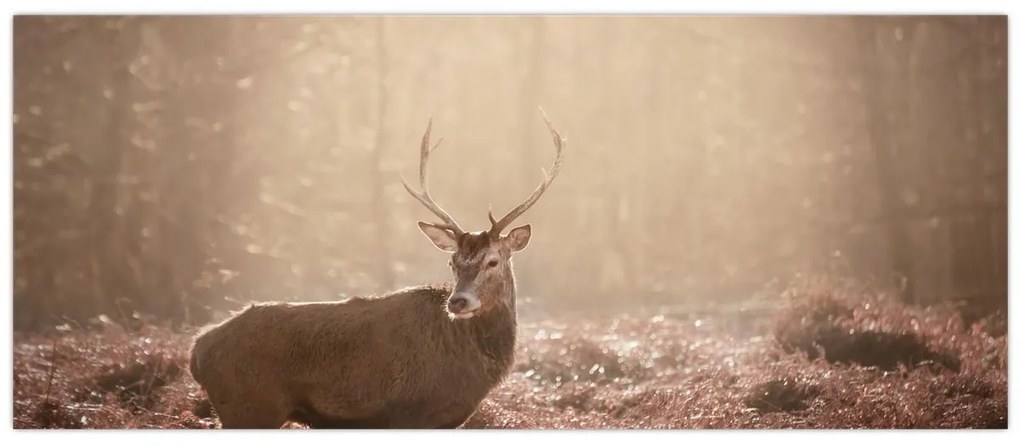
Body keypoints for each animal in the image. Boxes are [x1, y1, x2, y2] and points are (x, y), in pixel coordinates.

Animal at [187, 110, 563, 426]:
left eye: (492, 260)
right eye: (452, 262)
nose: (458, 302)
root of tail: (197, 352)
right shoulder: (409, 413)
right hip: (251, 406)